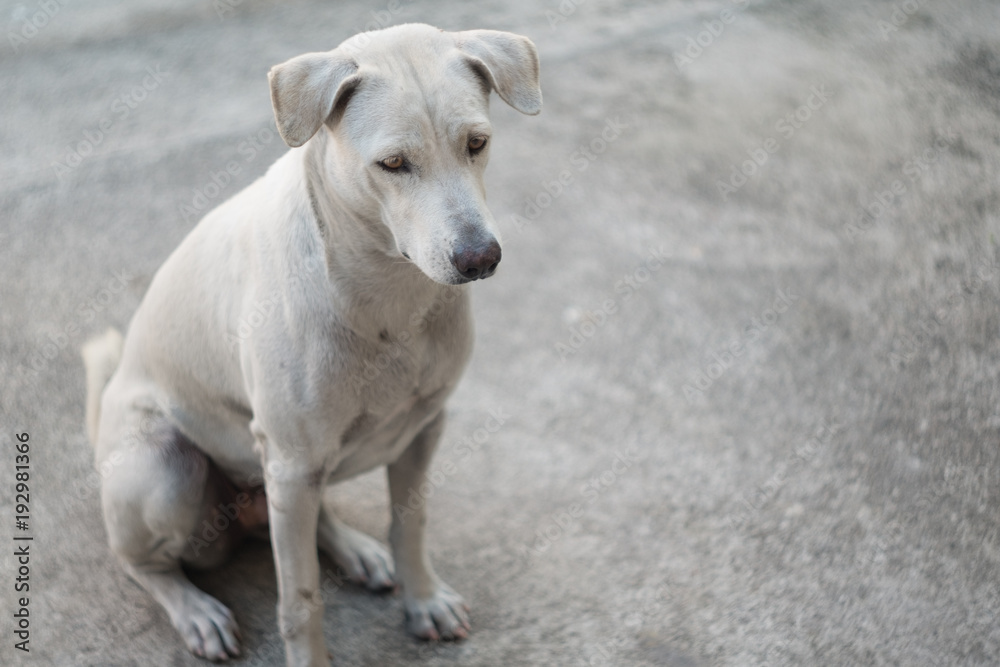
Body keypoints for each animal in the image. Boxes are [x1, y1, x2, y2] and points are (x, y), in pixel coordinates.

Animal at [82, 23, 544, 664]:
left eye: (477, 143)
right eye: (393, 163)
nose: (481, 258)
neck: (386, 292)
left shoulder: (421, 429)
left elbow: (410, 523)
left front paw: (422, 599)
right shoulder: (294, 461)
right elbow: (299, 598)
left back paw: (356, 550)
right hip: (167, 471)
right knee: (143, 564)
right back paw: (196, 610)